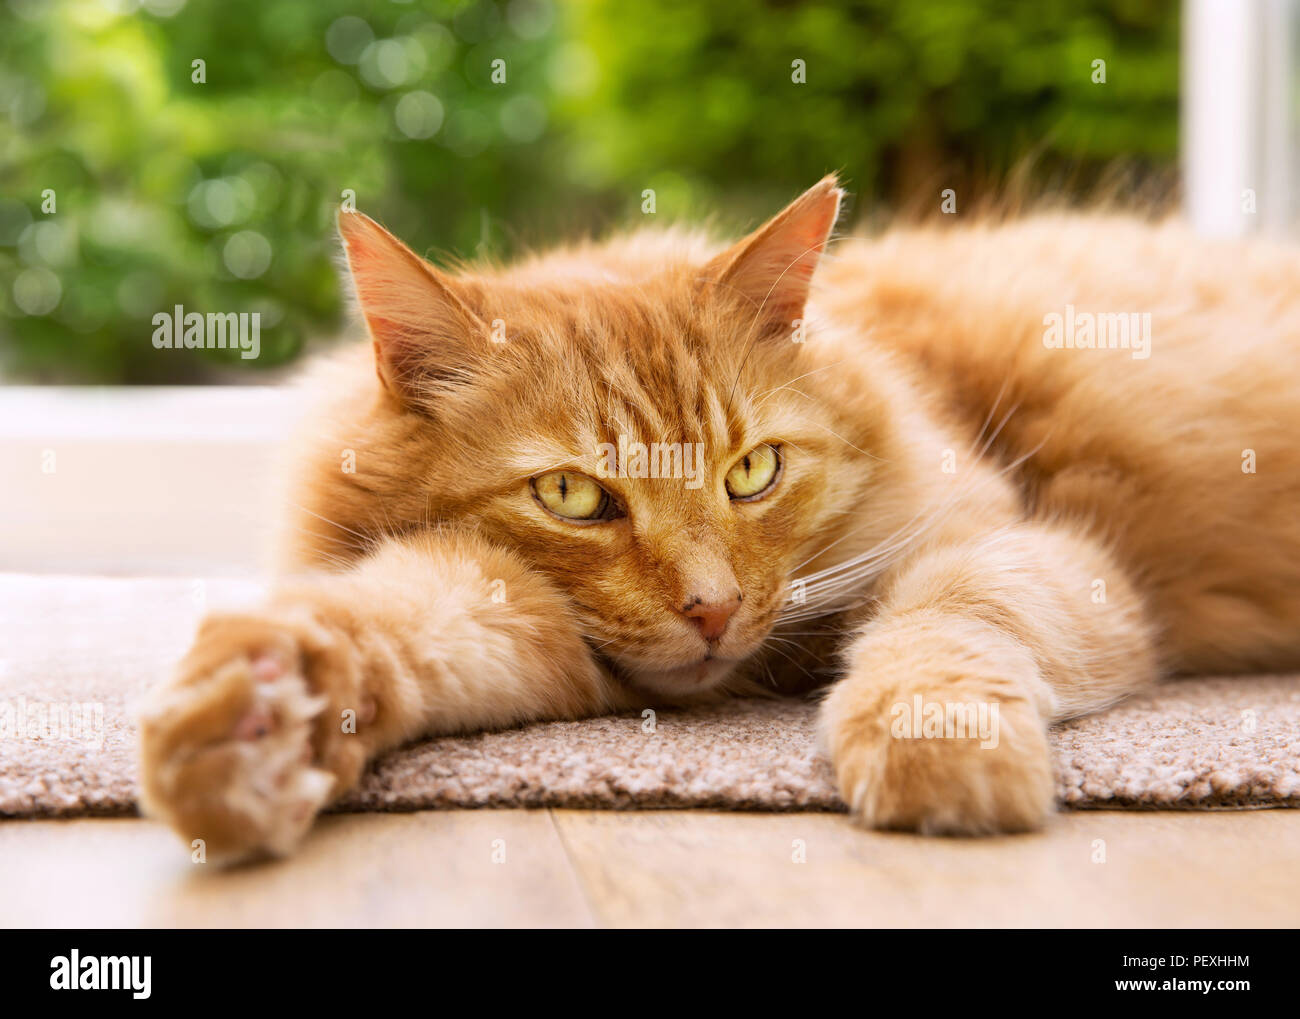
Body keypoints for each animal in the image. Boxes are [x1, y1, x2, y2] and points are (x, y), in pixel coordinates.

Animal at [137, 175, 1300, 857]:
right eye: (571, 495)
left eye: (753, 471)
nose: (711, 608)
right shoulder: (520, 611)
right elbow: (399, 623)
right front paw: (267, 714)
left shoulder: (1012, 549)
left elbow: (949, 620)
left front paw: (929, 741)